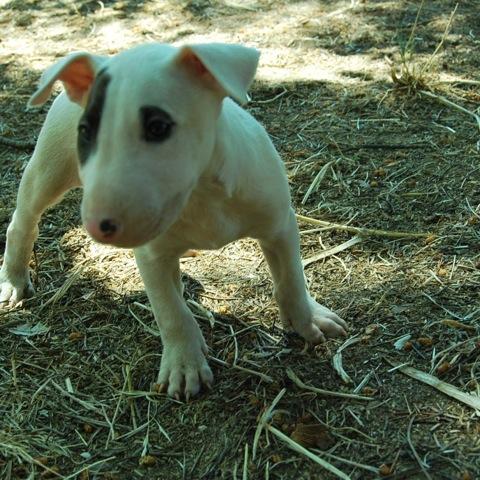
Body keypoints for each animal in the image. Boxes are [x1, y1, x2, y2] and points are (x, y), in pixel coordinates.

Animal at [0, 43, 344, 400]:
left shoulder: (279, 225)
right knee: (22, 222)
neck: (201, 194)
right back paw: (13, 279)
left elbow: (291, 280)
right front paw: (184, 365)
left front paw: (308, 321)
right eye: (86, 132)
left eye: (158, 127)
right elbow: (170, 311)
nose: (99, 226)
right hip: (47, 171)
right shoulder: (151, 256)